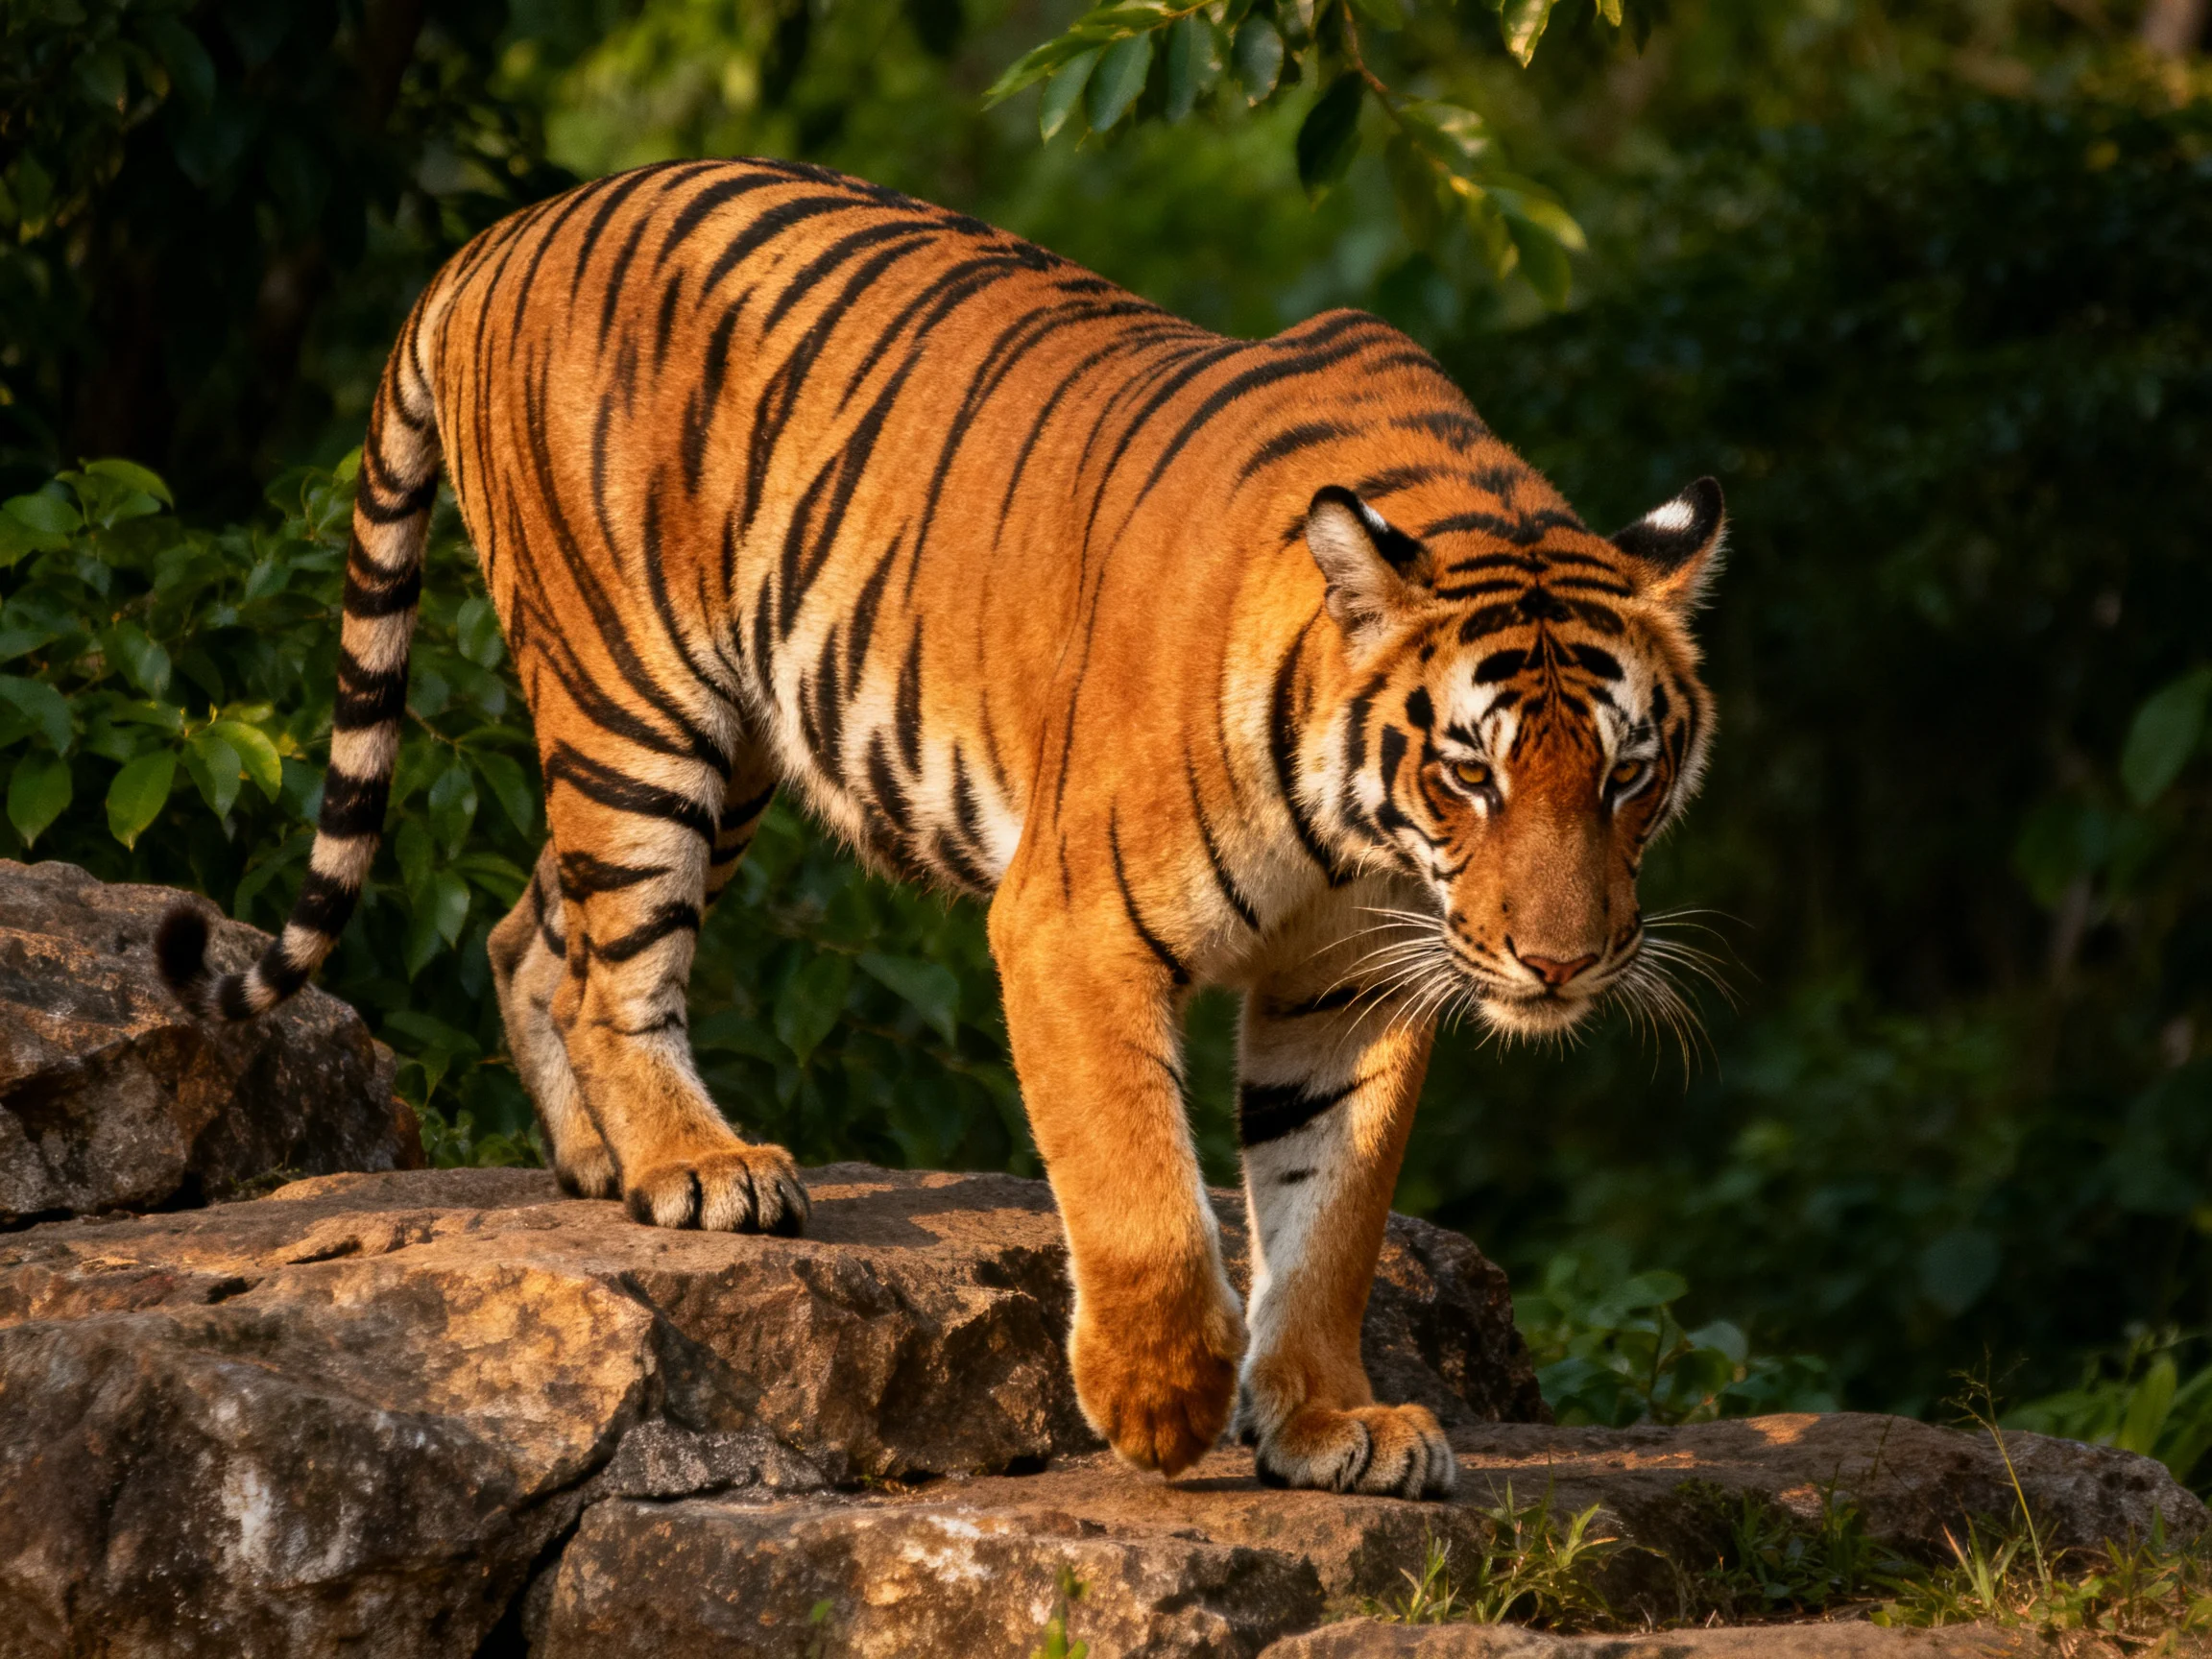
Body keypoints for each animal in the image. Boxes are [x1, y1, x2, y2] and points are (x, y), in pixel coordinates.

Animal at [156, 156, 1723, 1500]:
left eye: (1627, 777)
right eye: (1472, 775)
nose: (1561, 965)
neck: (1365, 841)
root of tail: (504, 234)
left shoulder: (1353, 978)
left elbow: (1327, 1212)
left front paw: (1331, 1422)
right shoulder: (1072, 925)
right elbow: (1142, 1188)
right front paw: (1159, 1400)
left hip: (730, 748)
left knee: (536, 930)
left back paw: (604, 1163)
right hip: (639, 700)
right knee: (616, 968)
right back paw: (698, 1169)